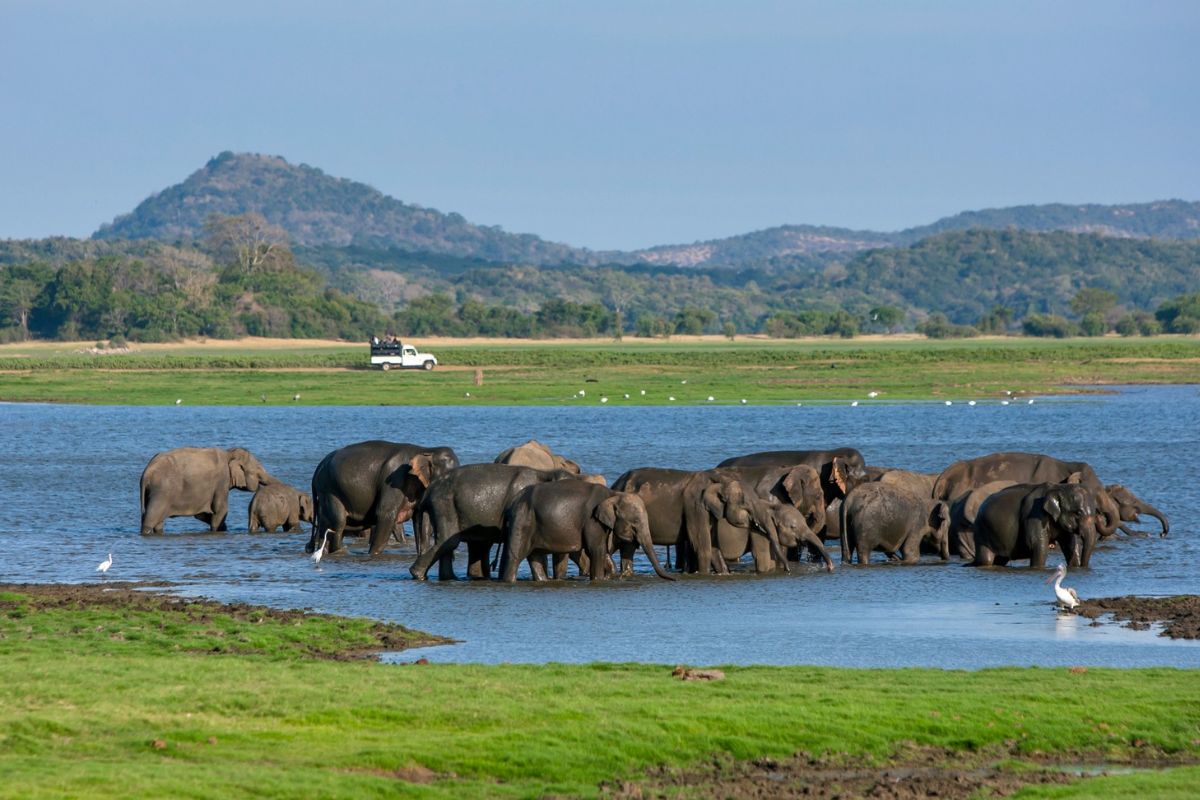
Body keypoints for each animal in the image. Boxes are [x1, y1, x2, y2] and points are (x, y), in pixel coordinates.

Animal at [140, 447, 277, 535]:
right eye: (258, 468)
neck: (229, 453)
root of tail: (146, 472)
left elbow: (202, 514)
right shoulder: (221, 481)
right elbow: (220, 510)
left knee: (158, 522)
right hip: (161, 492)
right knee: (150, 519)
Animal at [307, 441, 459, 556]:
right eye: (447, 479)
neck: (426, 450)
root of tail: (319, 465)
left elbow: (420, 520)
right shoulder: (394, 480)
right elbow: (385, 514)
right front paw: (372, 555)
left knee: (326, 525)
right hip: (329, 489)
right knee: (338, 522)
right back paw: (340, 552)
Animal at [499, 482, 674, 582]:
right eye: (636, 522)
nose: (673, 579)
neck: (613, 495)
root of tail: (512, 503)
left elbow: (603, 551)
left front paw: (609, 575)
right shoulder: (592, 521)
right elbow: (596, 550)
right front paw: (598, 579)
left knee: (536, 558)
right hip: (522, 521)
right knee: (514, 557)